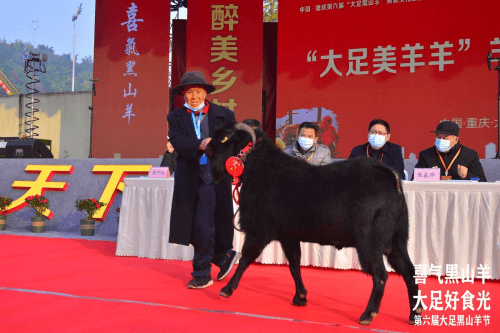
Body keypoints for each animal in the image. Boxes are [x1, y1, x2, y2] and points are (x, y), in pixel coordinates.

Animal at [207, 122, 422, 324]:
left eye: (225, 137)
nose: (207, 148)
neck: (261, 167)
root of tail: (392, 178)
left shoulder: (259, 230)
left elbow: (245, 259)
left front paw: (227, 289)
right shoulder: (288, 235)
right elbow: (294, 265)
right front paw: (300, 297)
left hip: (370, 242)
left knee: (381, 275)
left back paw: (368, 314)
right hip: (397, 240)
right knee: (409, 271)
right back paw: (414, 314)